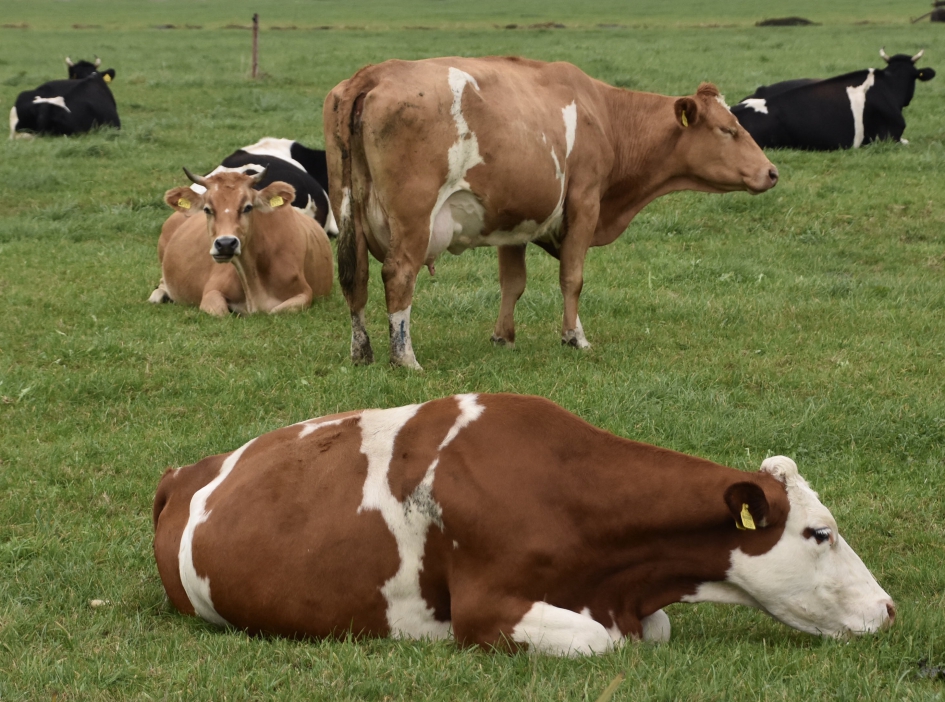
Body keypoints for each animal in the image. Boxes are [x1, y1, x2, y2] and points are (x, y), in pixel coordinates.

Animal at [148, 169, 333, 315]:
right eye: (207, 209)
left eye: (248, 207)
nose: (225, 244)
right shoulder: (211, 291)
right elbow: (221, 313)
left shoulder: (304, 293)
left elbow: (276, 311)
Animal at [153, 393, 894, 656]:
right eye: (819, 533)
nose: (888, 608)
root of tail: (186, 471)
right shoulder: (486, 607)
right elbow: (599, 642)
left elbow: (651, 629)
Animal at [324, 57, 778, 370]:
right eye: (728, 130)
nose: (772, 172)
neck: (604, 114)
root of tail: (376, 72)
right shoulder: (585, 202)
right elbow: (572, 278)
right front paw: (575, 338)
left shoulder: (511, 218)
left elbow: (512, 283)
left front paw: (503, 337)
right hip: (414, 219)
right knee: (398, 275)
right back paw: (405, 358)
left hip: (349, 211)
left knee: (355, 278)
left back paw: (361, 351)